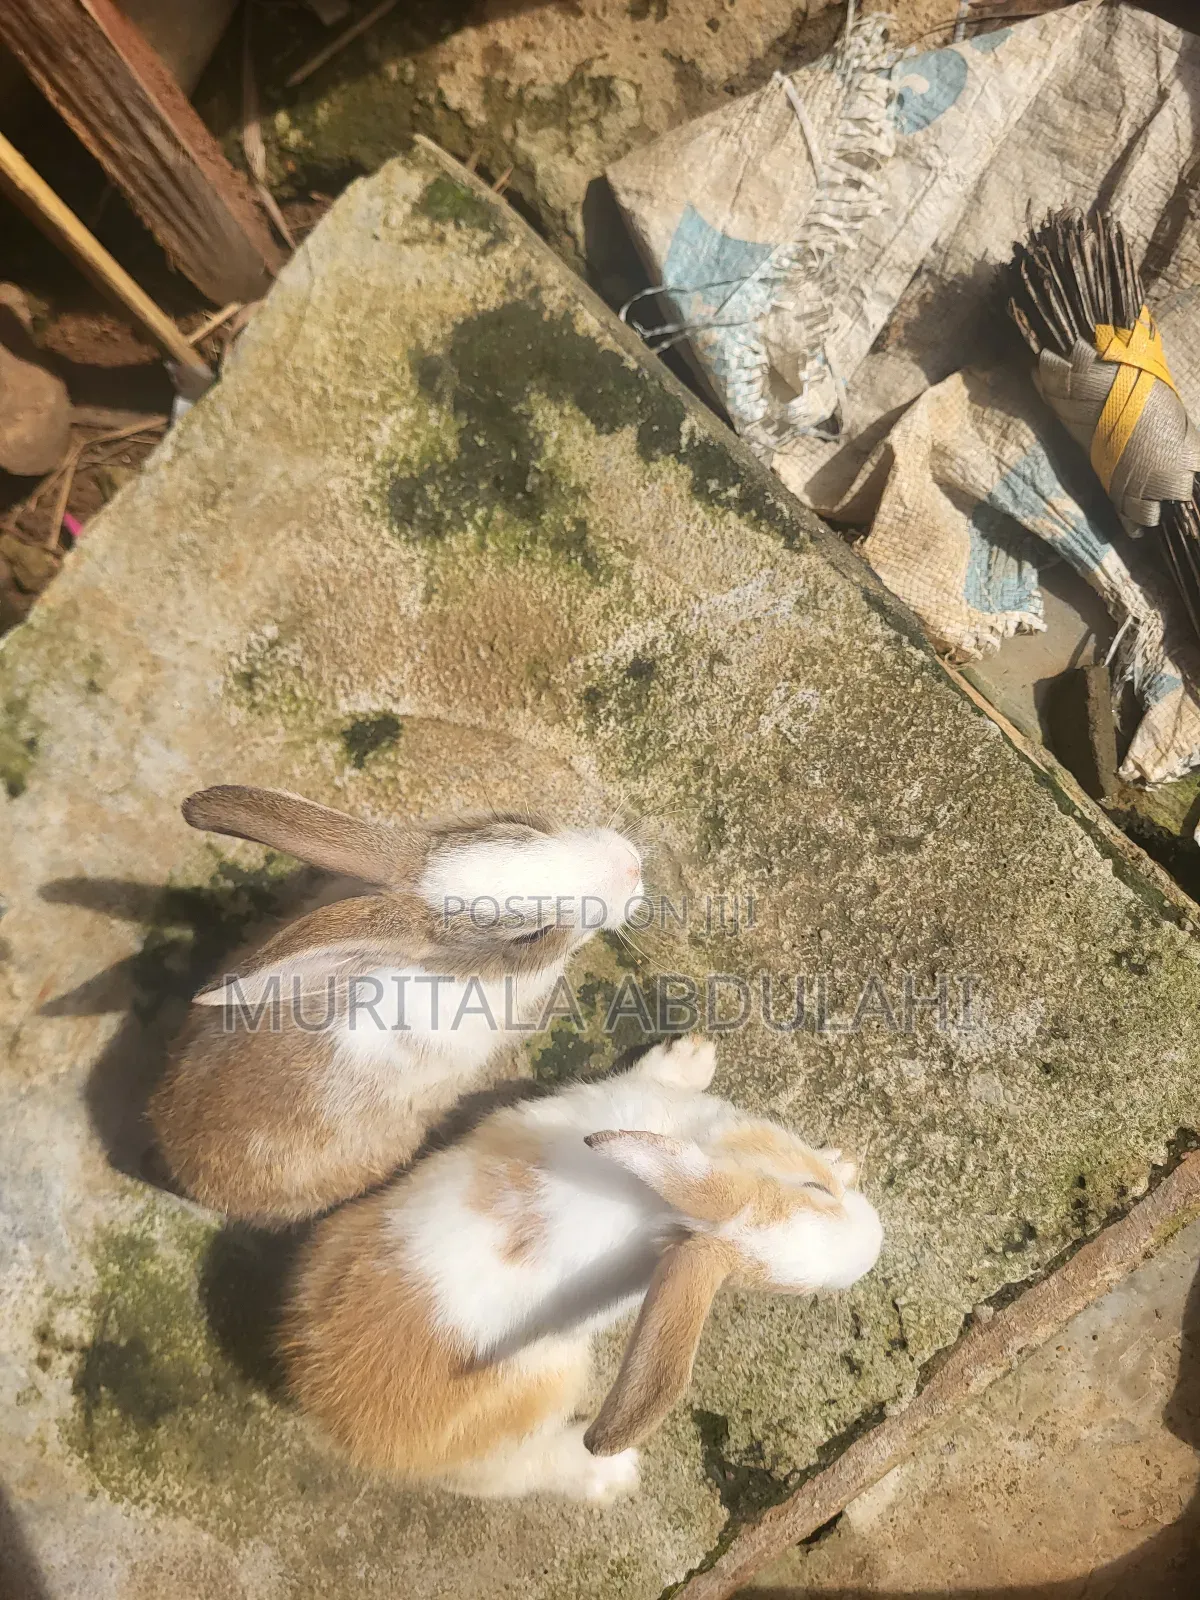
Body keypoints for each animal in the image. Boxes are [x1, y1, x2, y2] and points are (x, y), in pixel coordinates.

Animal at [282, 1034, 883, 1502]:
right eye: (813, 1188)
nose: (876, 1242)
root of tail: (328, 1415)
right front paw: (696, 1057)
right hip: (544, 1390)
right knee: (507, 1477)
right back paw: (609, 1474)